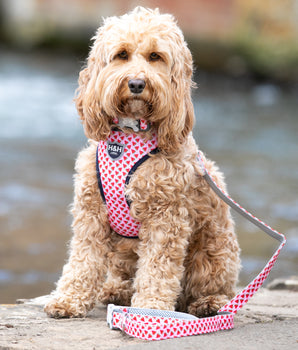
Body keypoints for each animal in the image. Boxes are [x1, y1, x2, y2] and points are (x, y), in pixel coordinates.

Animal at [44, 6, 240, 318]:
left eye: (155, 56)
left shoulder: (166, 216)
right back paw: (117, 290)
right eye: (122, 54)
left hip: (212, 250)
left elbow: (157, 267)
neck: (129, 136)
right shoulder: (91, 212)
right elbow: (83, 259)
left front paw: (151, 308)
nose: (136, 83)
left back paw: (209, 302)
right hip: (125, 251)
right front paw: (69, 299)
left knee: (212, 288)